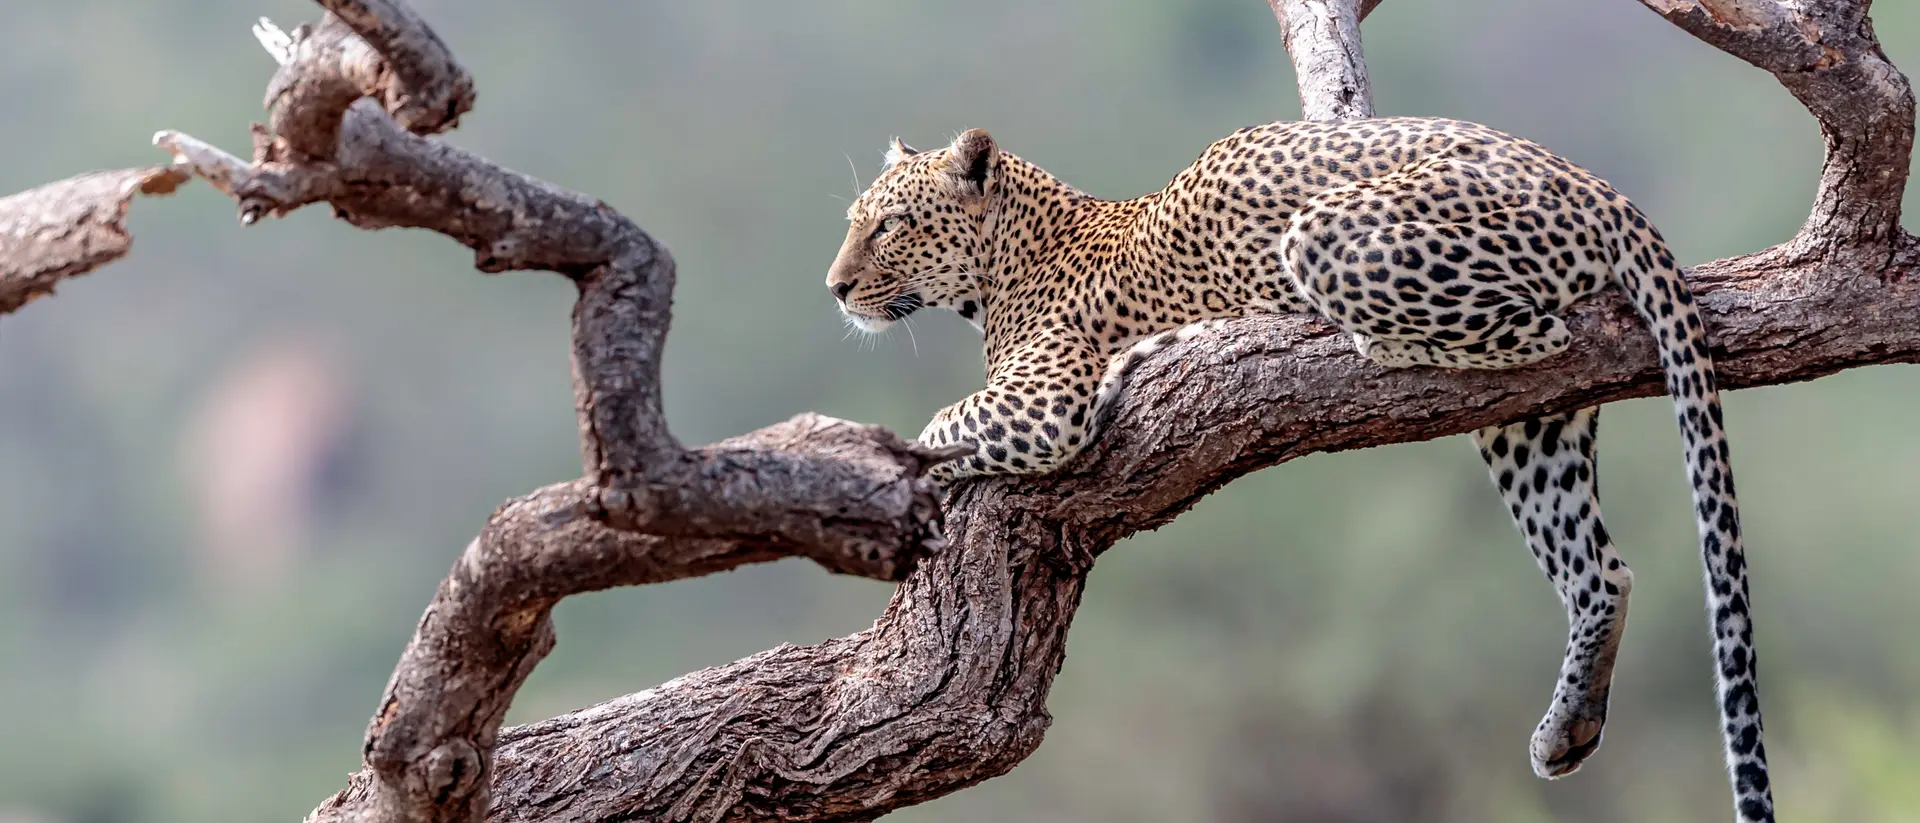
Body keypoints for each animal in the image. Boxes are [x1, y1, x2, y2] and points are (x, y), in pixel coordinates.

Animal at [824, 117, 1772, 823]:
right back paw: (1569, 727)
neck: (1007, 259)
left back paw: (1351, 340)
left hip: (1330, 235)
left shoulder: (1044, 402)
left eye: (891, 224)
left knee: (1539, 329)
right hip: (1533, 428)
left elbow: (941, 425)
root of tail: (1597, 184)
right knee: (1600, 567)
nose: (834, 287)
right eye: (852, 218)